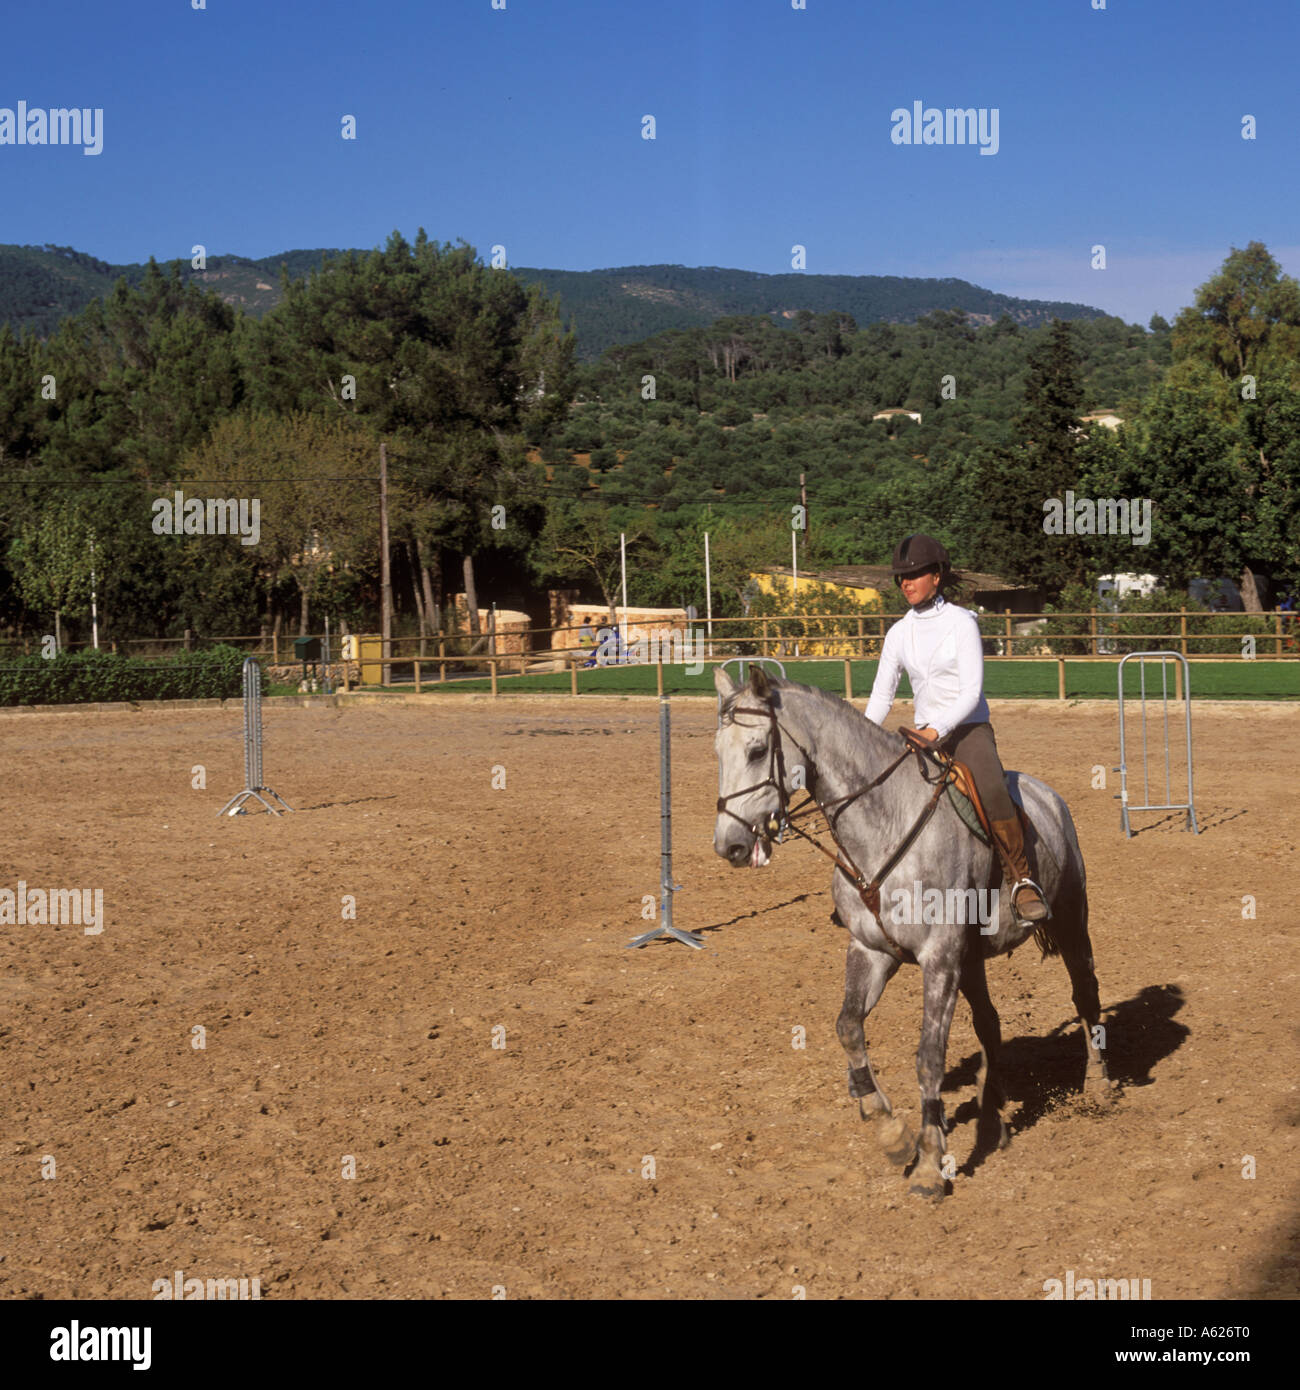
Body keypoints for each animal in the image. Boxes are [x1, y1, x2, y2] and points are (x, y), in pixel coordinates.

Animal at [717, 667, 1112, 1200]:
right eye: (718, 751)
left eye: (758, 750)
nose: (730, 845)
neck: (883, 825)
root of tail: (1048, 795)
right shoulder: (871, 950)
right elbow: (848, 1027)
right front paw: (889, 1130)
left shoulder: (938, 958)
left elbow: (928, 1057)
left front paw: (928, 1165)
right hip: (972, 960)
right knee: (990, 1024)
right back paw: (993, 1113)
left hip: (1070, 919)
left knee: (1085, 995)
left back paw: (1098, 1086)